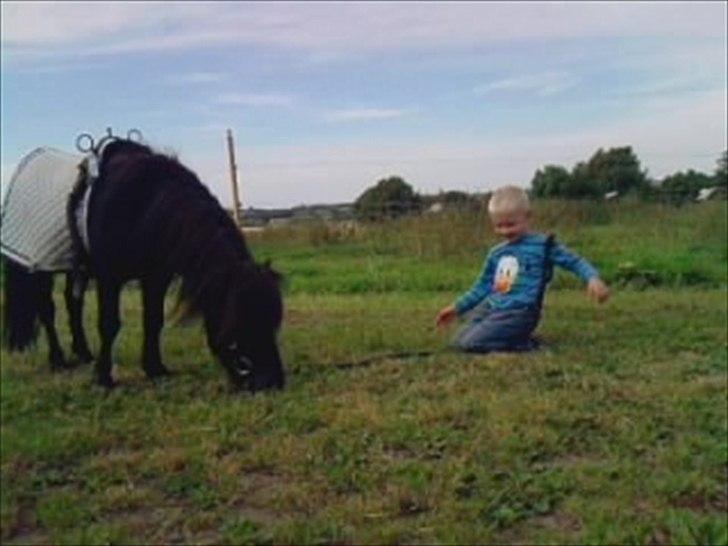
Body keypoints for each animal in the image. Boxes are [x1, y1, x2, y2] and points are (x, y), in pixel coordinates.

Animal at [4, 138, 286, 392]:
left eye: (273, 321)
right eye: (239, 316)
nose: (271, 382)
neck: (141, 206)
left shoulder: (156, 277)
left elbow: (153, 320)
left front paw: (155, 369)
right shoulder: (109, 278)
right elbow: (109, 324)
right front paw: (104, 378)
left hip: (77, 267)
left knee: (72, 303)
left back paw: (83, 353)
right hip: (41, 265)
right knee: (47, 310)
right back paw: (58, 360)